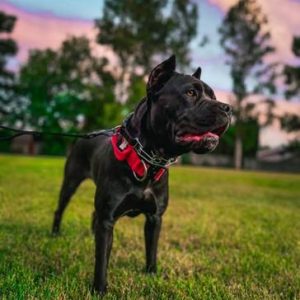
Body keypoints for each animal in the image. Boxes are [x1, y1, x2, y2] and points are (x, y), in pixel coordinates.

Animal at [51, 55, 232, 292]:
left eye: (213, 96)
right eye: (191, 93)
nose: (228, 108)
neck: (149, 159)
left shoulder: (155, 217)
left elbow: (151, 250)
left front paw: (151, 274)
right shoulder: (108, 219)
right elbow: (102, 259)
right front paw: (99, 290)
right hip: (71, 181)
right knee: (61, 207)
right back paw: (55, 232)